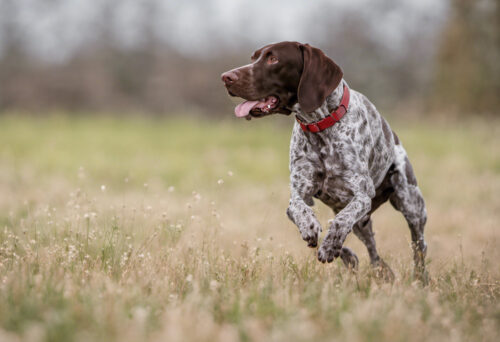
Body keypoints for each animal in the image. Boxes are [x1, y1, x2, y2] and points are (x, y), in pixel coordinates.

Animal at [221, 41, 428, 280]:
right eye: (253, 58)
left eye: (273, 59)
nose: (226, 77)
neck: (319, 125)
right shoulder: (300, 193)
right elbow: (299, 210)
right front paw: (315, 231)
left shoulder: (362, 195)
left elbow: (339, 223)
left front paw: (329, 247)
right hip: (362, 223)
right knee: (373, 251)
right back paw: (377, 269)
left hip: (411, 206)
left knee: (419, 247)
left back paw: (420, 279)